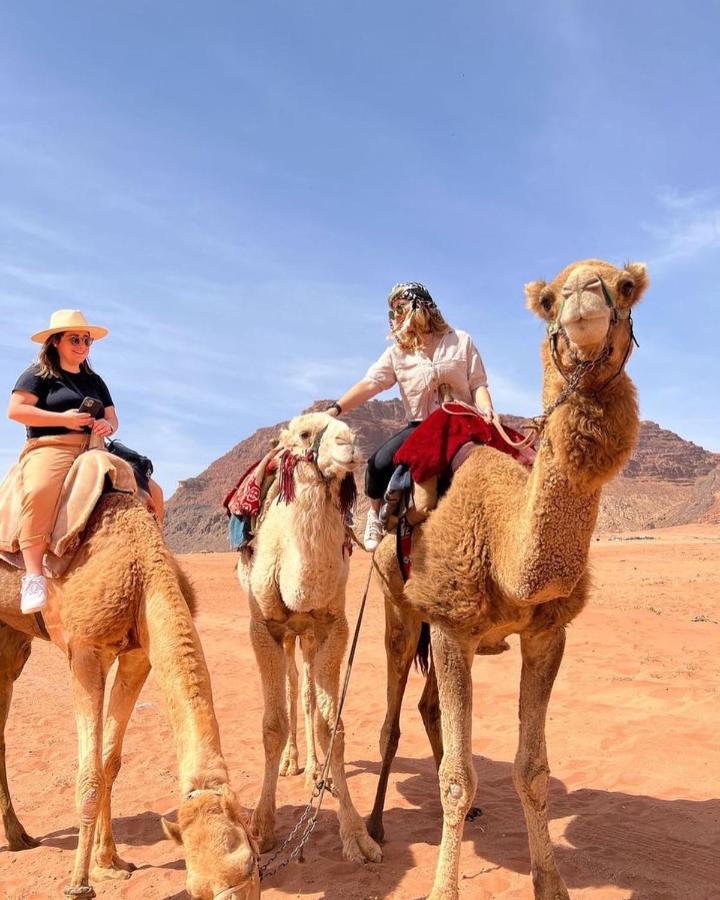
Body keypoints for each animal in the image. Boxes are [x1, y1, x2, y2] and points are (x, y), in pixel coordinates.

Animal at [0, 492, 258, 900]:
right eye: (193, 889)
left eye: (251, 865)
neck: (143, 570)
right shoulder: (85, 653)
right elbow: (89, 773)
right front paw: (80, 883)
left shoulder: (138, 656)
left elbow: (110, 762)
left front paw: (109, 862)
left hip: (12, 638)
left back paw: (19, 837)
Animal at [236, 414, 382, 864]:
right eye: (303, 433)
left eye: (345, 424)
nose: (348, 443)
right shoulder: (263, 628)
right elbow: (271, 725)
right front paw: (262, 828)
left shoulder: (333, 627)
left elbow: (330, 725)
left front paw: (356, 836)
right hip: (286, 636)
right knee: (290, 686)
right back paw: (291, 762)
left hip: (307, 637)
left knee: (303, 695)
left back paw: (315, 770)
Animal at [366, 256, 648, 896]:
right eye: (548, 300)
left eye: (624, 287)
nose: (583, 296)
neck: (506, 548)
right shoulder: (451, 627)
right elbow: (454, 776)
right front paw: (442, 888)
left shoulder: (545, 634)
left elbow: (532, 770)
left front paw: (551, 882)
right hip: (400, 608)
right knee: (392, 717)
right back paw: (372, 828)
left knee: (427, 708)